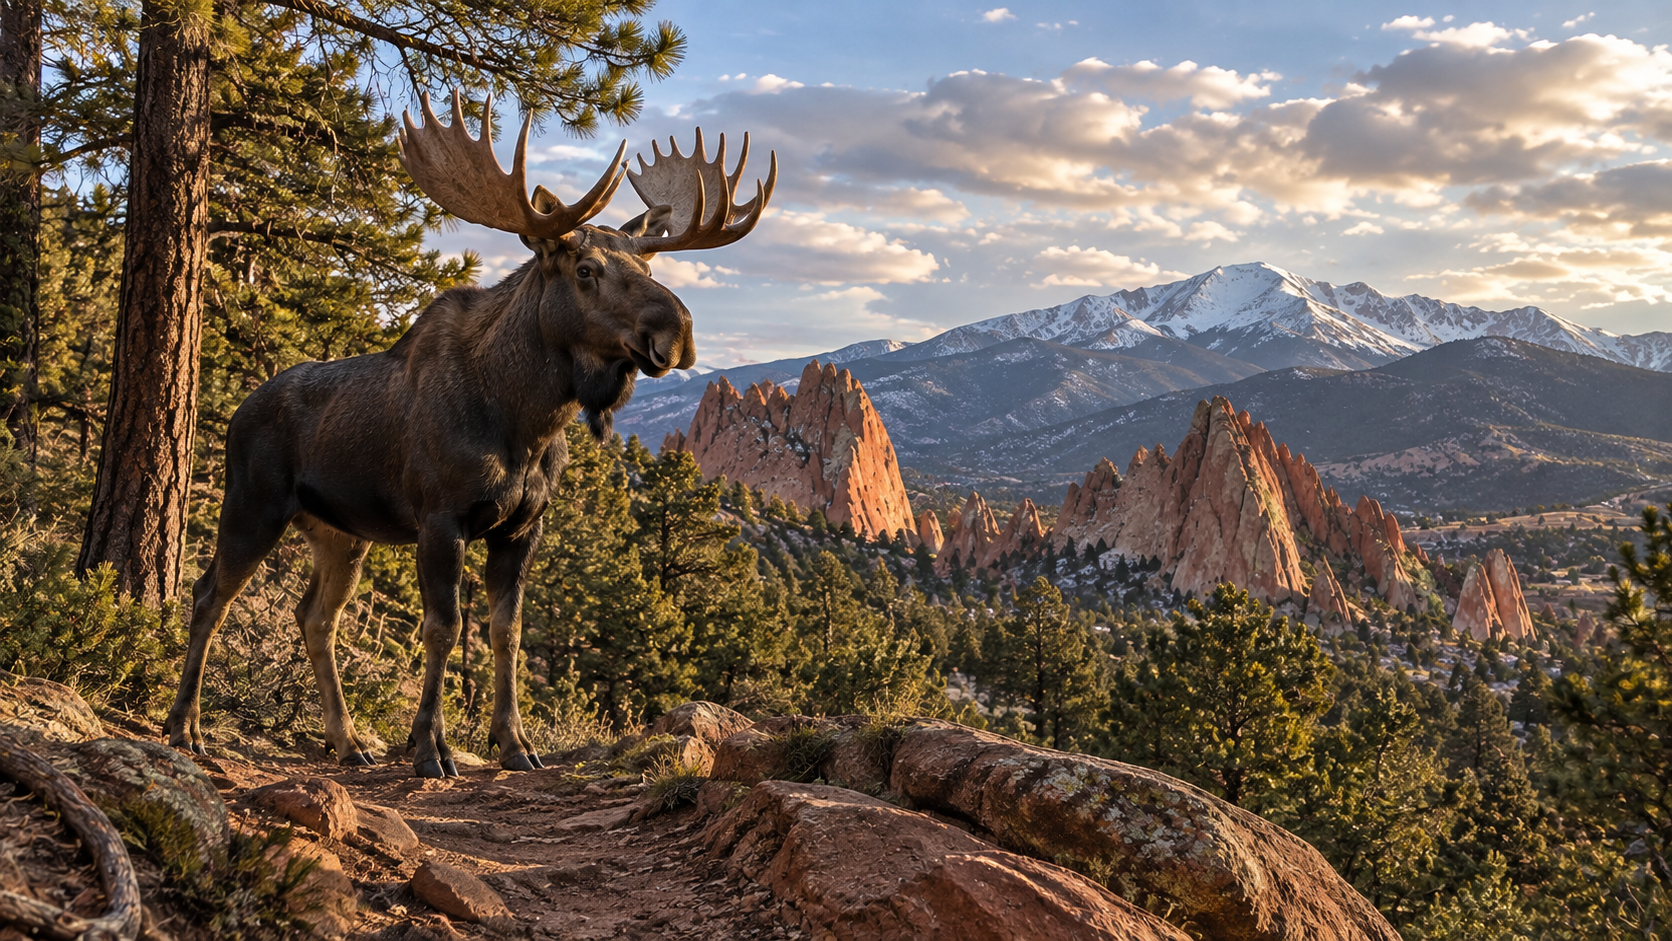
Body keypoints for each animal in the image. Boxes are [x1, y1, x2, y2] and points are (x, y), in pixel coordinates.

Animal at [164, 93, 776, 778]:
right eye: (587, 269)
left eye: (646, 261)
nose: (680, 329)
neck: (526, 421)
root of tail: (238, 411)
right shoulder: (441, 517)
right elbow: (443, 627)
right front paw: (430, 747)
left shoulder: (522, 526)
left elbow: (505, 632)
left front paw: (514, 744)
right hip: (254, 504)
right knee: (209, 594)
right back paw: (184, 727)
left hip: (341, 533)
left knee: (315, 617)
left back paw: (348, 742)